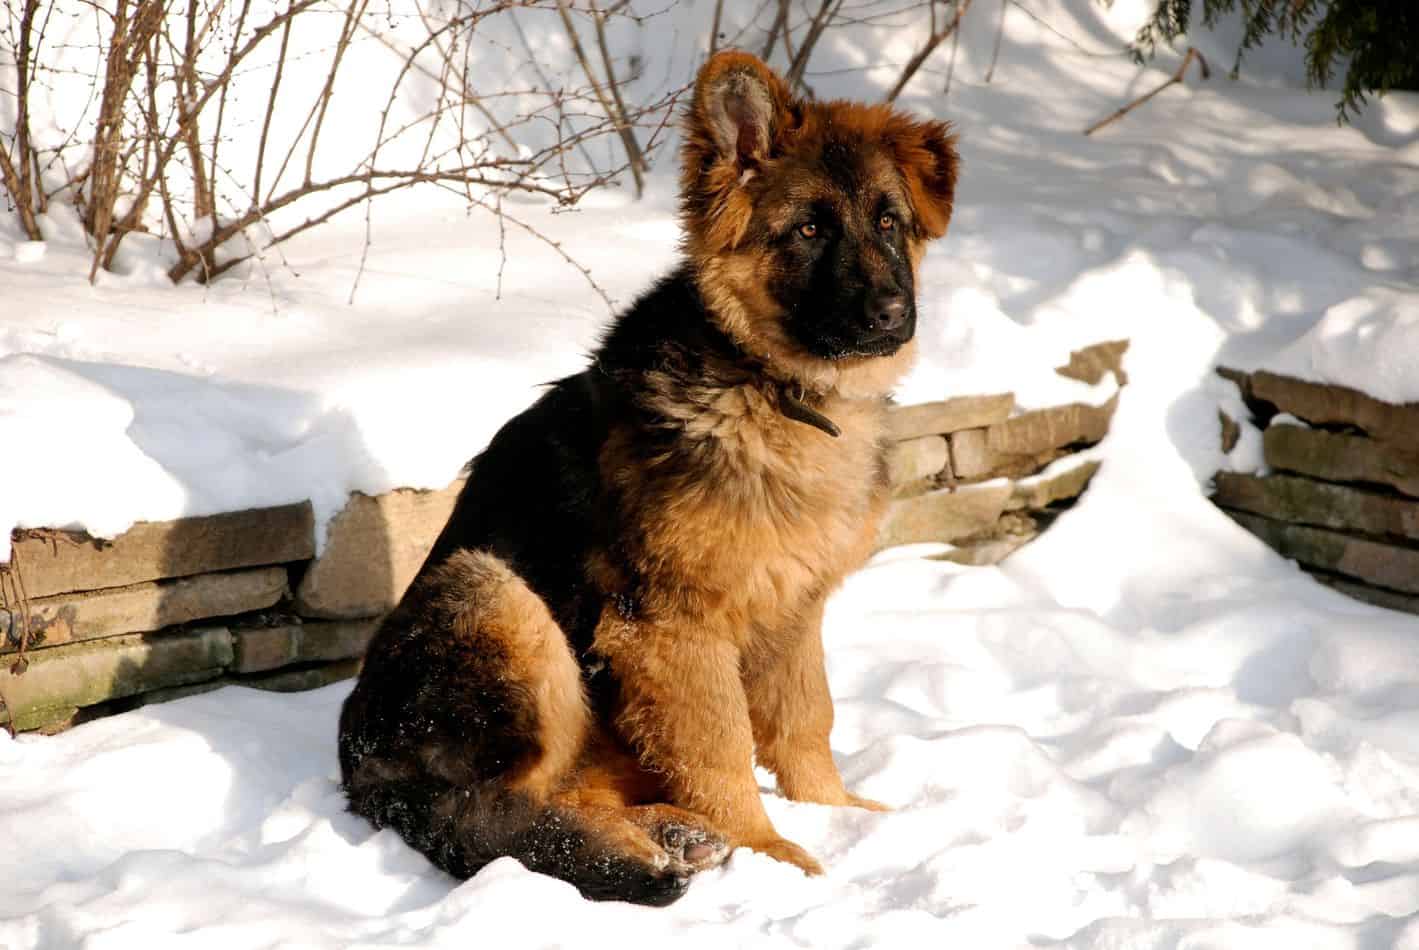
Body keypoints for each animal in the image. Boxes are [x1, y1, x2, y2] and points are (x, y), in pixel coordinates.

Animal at [337, 50, 959, 903]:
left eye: (888, 222)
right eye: (808, 230)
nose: (893, 315)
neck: (775, 389)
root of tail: (366, 774)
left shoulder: (794, 607)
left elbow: (806, 719)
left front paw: (838, 814)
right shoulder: (671, 629)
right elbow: (720, 748)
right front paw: (774, 851)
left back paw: (666, 832)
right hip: (498, 597)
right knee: (491, 813)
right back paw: (639, 850)